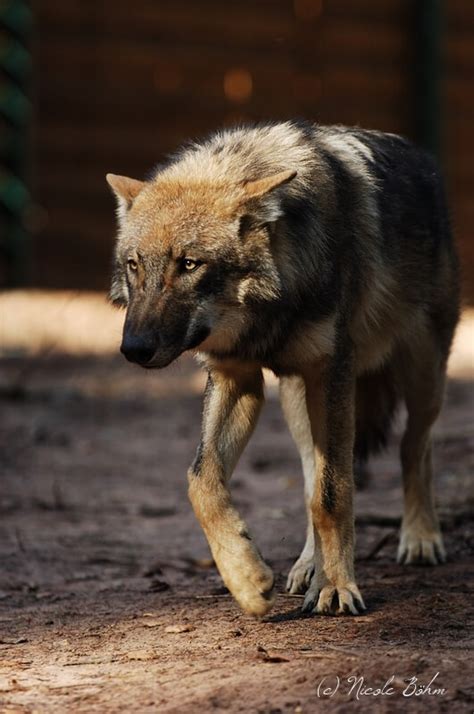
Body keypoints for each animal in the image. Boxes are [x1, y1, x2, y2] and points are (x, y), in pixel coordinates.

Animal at [107, 119, 460, 616]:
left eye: (190, 264)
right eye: (135, 265)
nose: (133, 349)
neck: (269, 314)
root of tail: (425, 161)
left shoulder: (331, 373)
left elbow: (334, 494)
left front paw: (338, 587)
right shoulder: (236, 377)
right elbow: (202, 480)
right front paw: (247, 579)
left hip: (421, 375)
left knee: (415, 446)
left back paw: (420, 538)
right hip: (297, 402)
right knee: (312, 476)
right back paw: (308, 568)